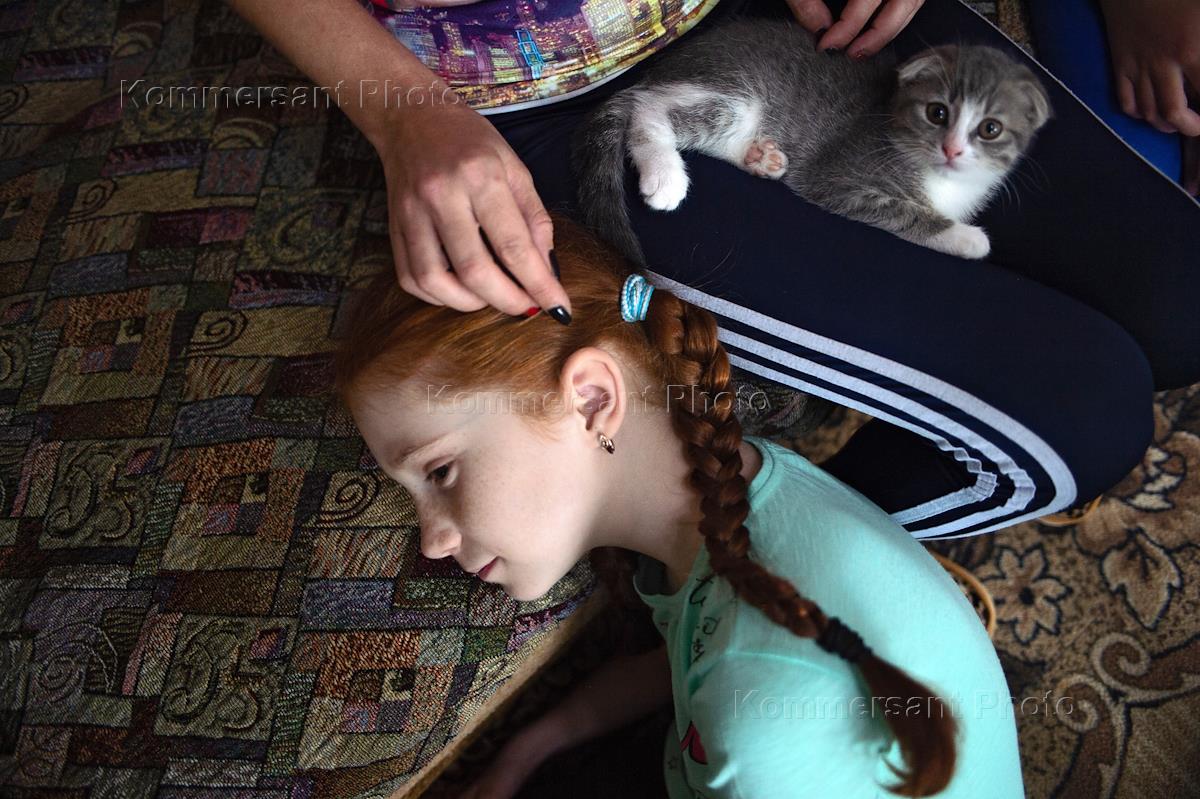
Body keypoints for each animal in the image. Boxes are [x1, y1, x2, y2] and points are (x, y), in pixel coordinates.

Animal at [570, 18, 1052, 263]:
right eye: (937, 113)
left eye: (990, 129)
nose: (952, 149)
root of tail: (661, 69)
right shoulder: (838, 177)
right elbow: (905, 214)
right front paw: (967, 238)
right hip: (733, 92)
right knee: (649, 107)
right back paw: (666, 175)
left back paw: (761, 157)